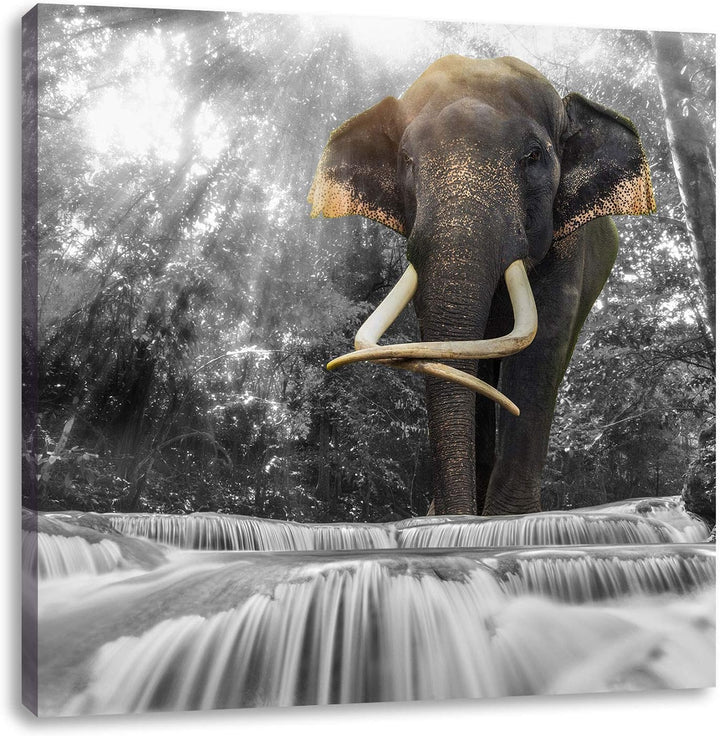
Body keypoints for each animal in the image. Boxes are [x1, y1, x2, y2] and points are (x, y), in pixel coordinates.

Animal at [308, 55, 655, 516]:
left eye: (533, 155)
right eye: (407, 160)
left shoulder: (568, 246)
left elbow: (541, 347)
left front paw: (509, 520)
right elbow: (444, 351)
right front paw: (452, 517)